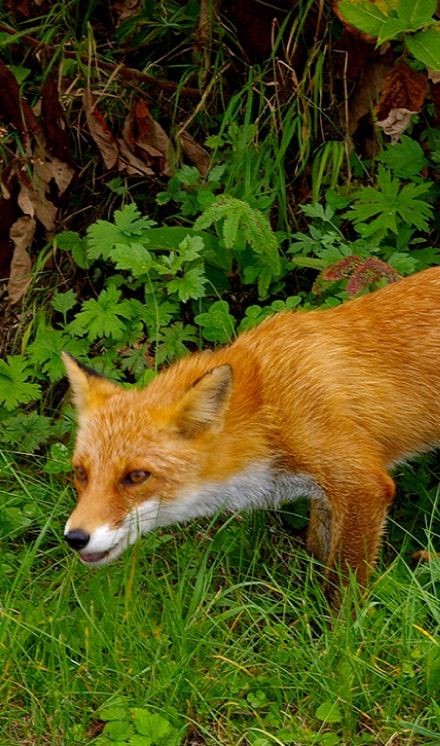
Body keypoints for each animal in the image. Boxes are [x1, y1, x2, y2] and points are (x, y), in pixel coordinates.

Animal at [62, 264, 440, 596]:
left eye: (136, 476)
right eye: (80, 473)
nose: (75, 538)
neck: (268, 407)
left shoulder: (363, 485)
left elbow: (342, 589)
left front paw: (339, 631)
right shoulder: (328, 492)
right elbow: (317, 551)